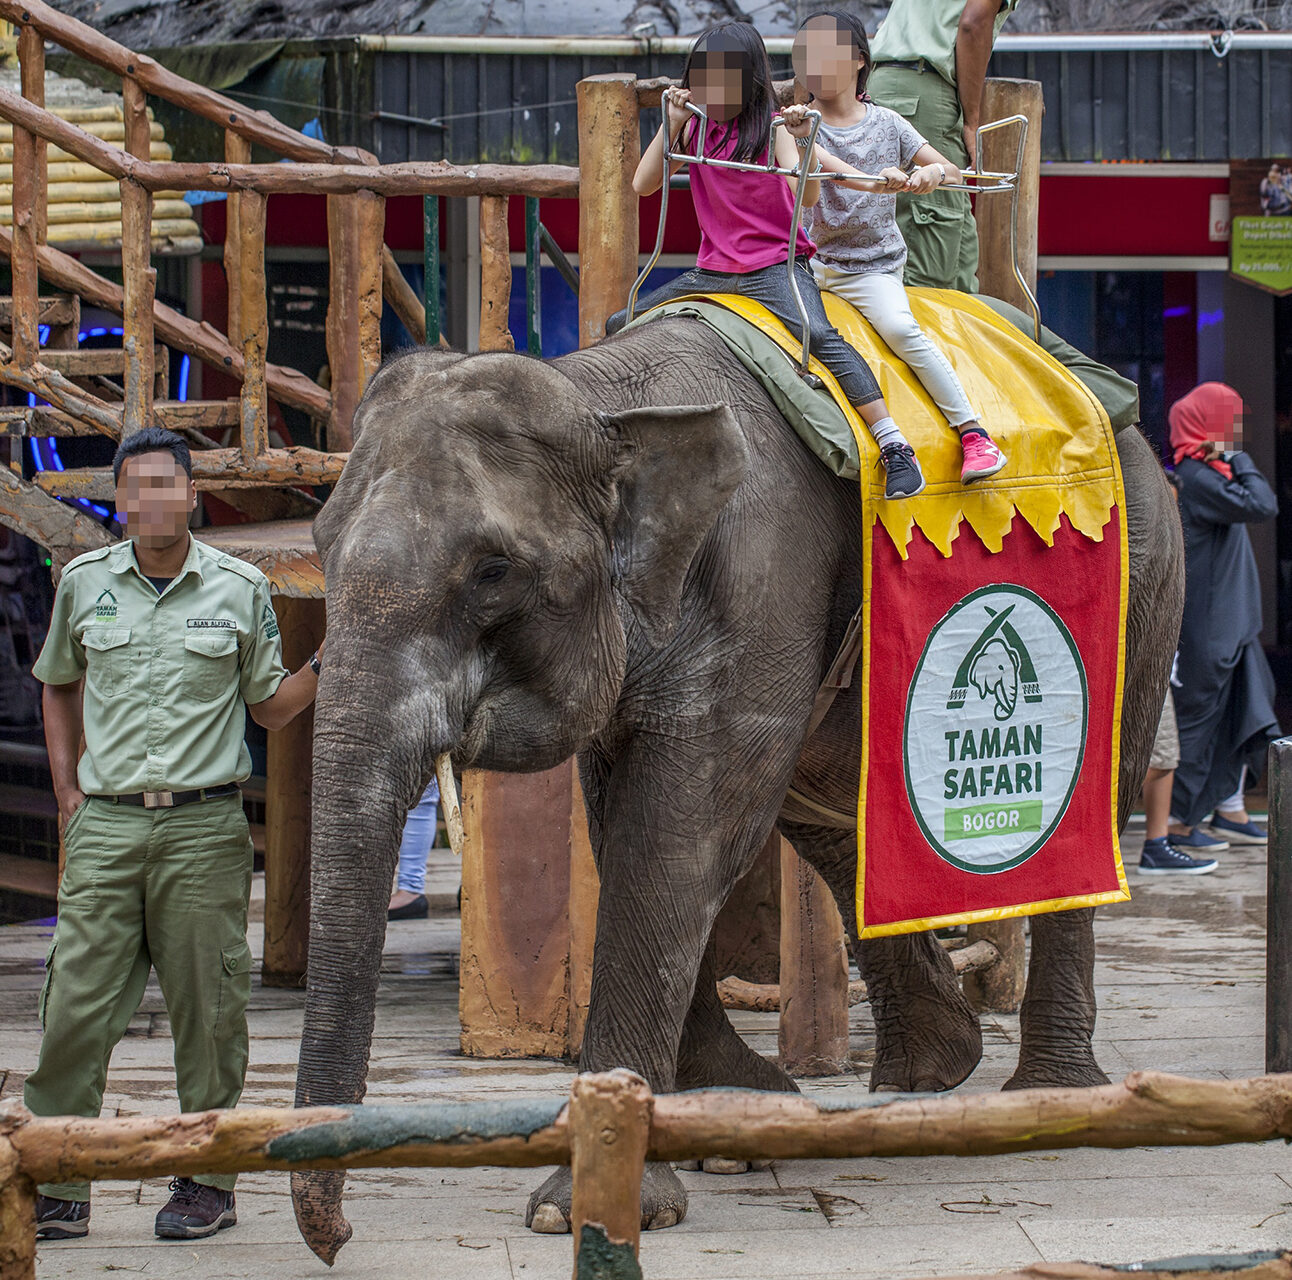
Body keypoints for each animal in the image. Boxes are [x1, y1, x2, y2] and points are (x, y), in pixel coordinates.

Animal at [290, 318, 1184, 1262]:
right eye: (320, 543)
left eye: (494, 571)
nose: (340, 1242)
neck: (604, 402)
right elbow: (629, 827)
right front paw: (731, 1124)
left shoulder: (761, 586)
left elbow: (680, 834)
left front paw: (590, 1203)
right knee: (836, 823)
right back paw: (927, 1073)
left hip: (1141, 586)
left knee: (1088, 814)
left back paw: (1054, 1097)